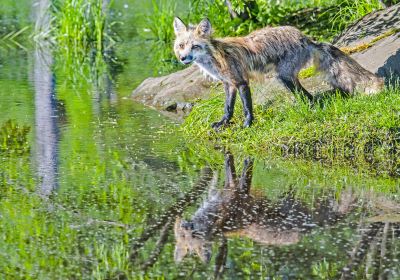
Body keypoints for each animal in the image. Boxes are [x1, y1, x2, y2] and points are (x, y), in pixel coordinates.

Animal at [173, 18, 384, 130]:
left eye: (195, 46)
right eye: (181, 45)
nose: (183, 58)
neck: (215, 58)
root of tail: (306, 37)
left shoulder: (241, 82)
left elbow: (247, 108)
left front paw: (248, 125)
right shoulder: (229, 84)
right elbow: (228, 108)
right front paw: (223, 123)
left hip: (284, 77)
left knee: (307, 96)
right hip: (287, 78)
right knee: (308, 97)